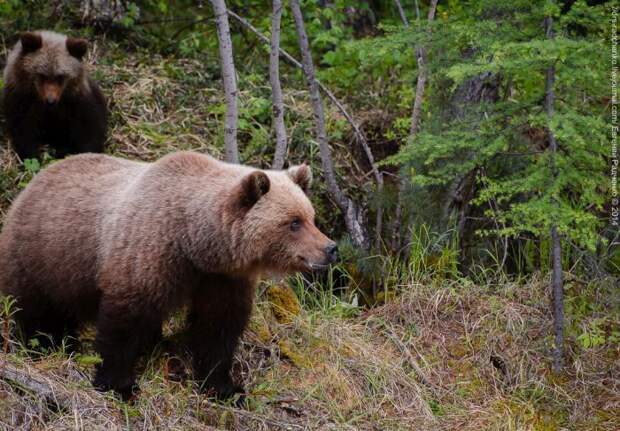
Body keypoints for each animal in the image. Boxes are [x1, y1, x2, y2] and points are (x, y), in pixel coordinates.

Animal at [0, 30, 108, 160]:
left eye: (60, 76)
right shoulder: (22, 101)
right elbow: (23, 131)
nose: (50, 100)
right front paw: (33, 155)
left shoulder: (76, 102)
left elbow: (89, 130)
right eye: (41, 75)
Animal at [0, 151, 336, 402]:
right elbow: (124, 321)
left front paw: (225, 387)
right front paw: (119, 384)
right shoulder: (149, 254)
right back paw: (41, 346)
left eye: (310, 217)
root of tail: (35, 180)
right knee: (34, 310)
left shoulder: (221, 278)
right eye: (293, 222)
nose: (330, 248)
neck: (193, 240)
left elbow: (218, 328)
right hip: (43, 255)